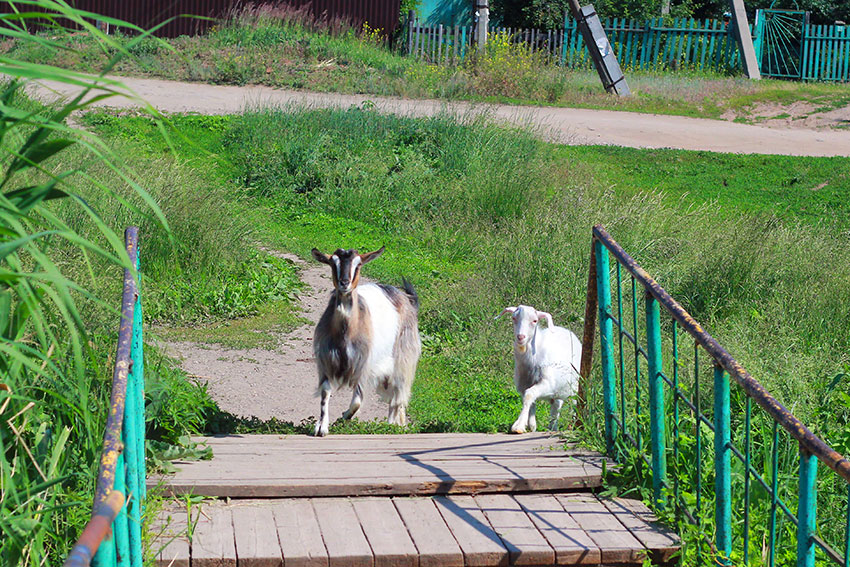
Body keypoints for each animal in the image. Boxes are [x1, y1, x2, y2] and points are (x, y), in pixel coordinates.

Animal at [311, 246, 421, 437]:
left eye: (358, 264)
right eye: (333, 263)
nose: (344, 283)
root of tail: (407, 298)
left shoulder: (363, 366)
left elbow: (357, 401)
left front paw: (344, 416)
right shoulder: (326, 362)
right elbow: (325, 394)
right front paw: (321, 427)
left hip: (403, 358)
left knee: (398, 397)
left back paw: (392, 426)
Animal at [496, 305, 581, 434]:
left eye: (535, 321)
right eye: (513, 318)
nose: (520, 337)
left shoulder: (548, 382)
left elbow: (529, 395)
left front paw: (519, 426)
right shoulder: (523, 385)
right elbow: (530, 400)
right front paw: (531, 425)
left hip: (575, 386)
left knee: (574, 404)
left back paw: (572, 426)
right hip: (559, 389)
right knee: (556, 407)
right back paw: (553, 427)